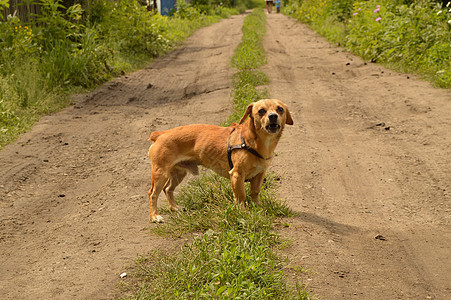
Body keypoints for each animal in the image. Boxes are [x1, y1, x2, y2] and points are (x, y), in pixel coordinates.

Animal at [148, 99, 294, 223]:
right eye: (261, 111)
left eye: (280, 109)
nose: (273, 116)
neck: (255, 142)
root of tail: (160, 134)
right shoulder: (237, 175)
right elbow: (241, 196)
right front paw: (242, 212)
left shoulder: (259, 174)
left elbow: (255, 192)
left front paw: (257, 207)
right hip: (160, 173)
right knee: (153, 194)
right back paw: (155, 216)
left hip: (178, 173)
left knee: (168, 189)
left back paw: (174, 208)